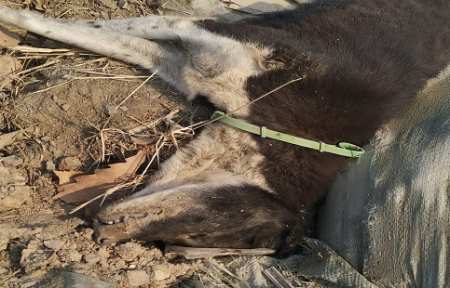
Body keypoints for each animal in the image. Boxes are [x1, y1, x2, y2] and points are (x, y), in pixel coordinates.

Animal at [1, 0, 448, 252]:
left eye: (192, 238)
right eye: (201, 230)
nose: (100, 231)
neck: (276, 132)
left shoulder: (180, 64)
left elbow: (112, 40)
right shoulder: (220, 36)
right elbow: (92, 26)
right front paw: (11, 17)